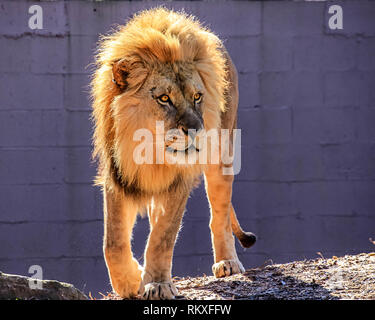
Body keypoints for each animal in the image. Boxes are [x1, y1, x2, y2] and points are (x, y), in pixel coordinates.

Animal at [90, 6, 258, 300]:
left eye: (197, 97)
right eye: (164, 98)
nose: (196, 130)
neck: (151, 152)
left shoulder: (179, 181)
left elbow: (163, 236)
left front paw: (156, 284)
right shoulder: (117, 176)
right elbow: (113, 242)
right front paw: (130, 281)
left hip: (222, 154)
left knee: (219, 214)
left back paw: (227, 262)